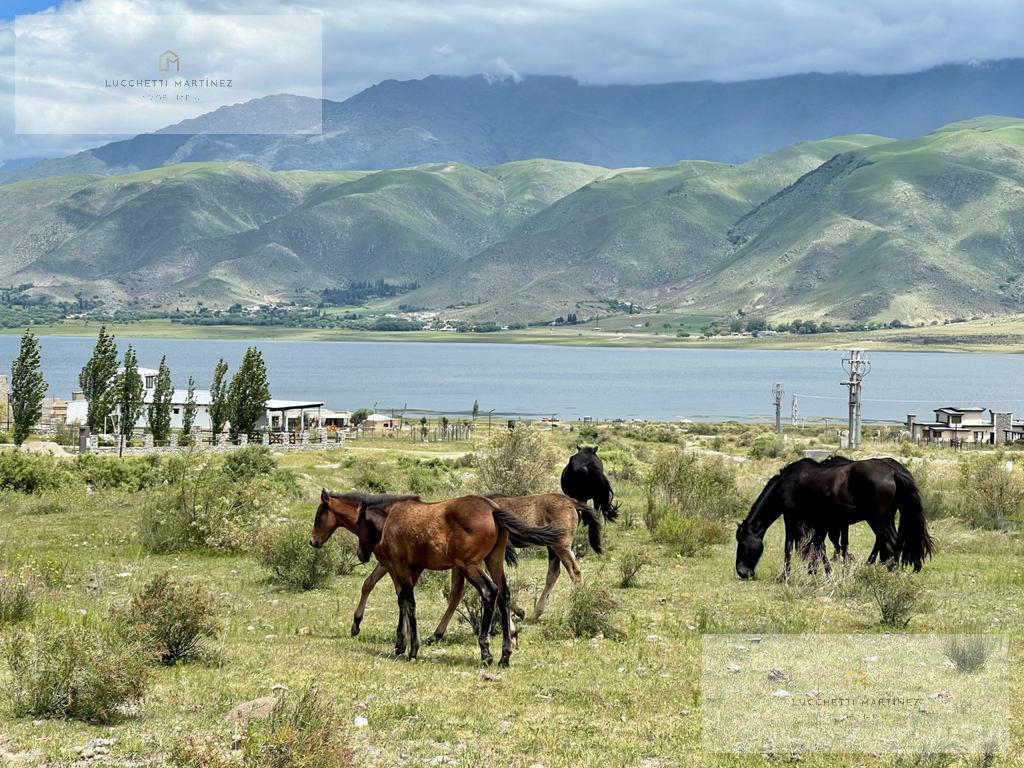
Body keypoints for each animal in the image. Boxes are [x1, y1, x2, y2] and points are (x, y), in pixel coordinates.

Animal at [311, 493, 569, 667]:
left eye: (318, 516)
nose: (313, 542)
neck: (390, 519)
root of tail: (492, 509)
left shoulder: (398, 567)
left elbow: (406, 602)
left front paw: (410, 648)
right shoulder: (410, 569)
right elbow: (402, 601)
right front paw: (400, 643)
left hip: (470, 566)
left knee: (488, 593)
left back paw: (485, 650)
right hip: (492, 561)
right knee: (503, 594)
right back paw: (505, 654)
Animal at [737, 460, 937, 581]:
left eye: (742, 542)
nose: (742, 572)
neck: (786, 483)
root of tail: (893, 472)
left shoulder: (792, 517)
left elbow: (790, 546)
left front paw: (784, 576)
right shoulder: (818, 522)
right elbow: (817, 546)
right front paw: (818, 572)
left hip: (878, 519)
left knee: (891, 543)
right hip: (887, 518)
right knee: (892, 543)